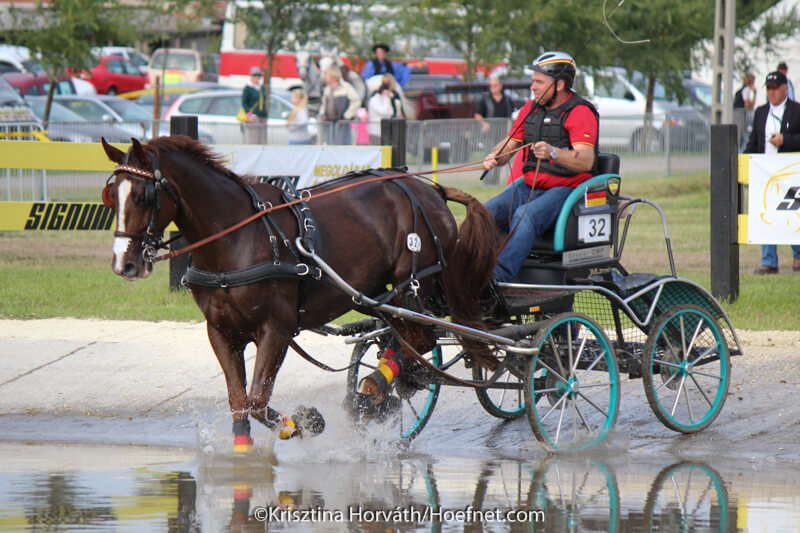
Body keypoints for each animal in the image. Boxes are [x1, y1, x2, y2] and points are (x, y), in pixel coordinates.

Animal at [101, 134, 500, 448]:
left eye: (142, 196)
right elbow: (239, 404)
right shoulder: (221, 332)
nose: (123, 264)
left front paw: (306, 422)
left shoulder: (275, 330)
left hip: (411, 287)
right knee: (403, 339)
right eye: (109, 197)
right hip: (376, 295)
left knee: (421, 341)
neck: (237, 236)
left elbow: (257, 401)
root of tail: (429, 189)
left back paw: (378, 385)